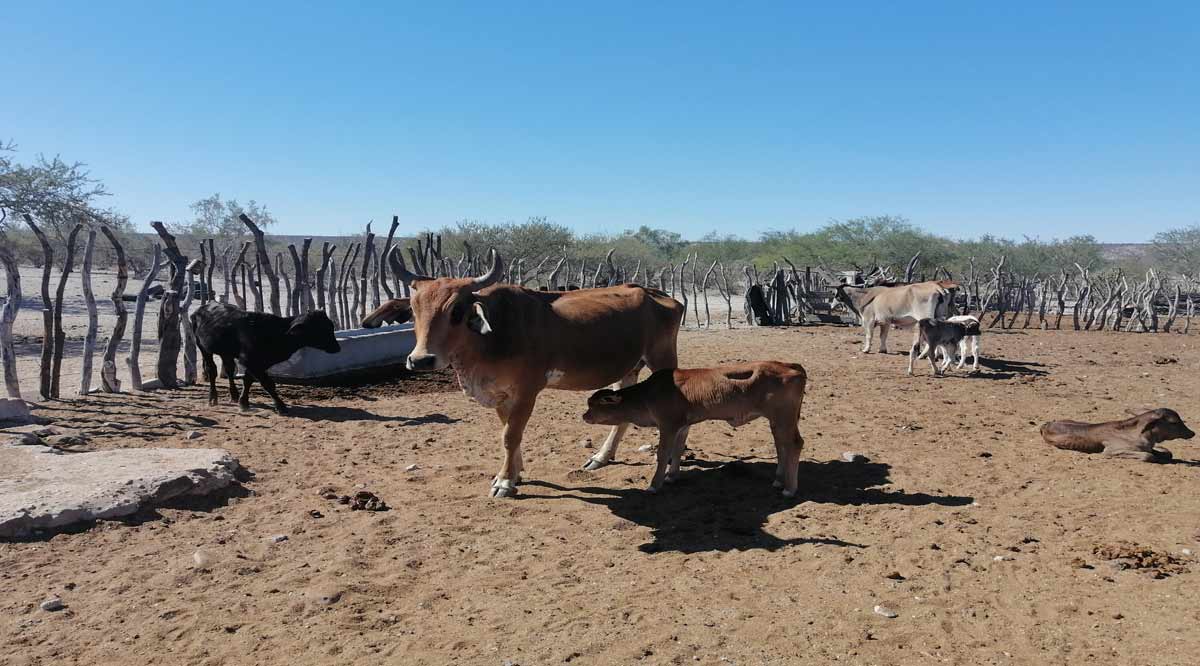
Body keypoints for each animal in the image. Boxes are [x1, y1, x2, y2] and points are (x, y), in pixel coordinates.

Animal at [190, 301, 343, 415]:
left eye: (330, 326)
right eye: (318, 329)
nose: (337, 348)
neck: (275, 332)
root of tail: (203, 307)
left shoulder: (259, 363)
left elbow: (248, 380)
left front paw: (243, 402)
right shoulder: (250, 361)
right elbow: (268, 383)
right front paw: (281, 406)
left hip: (225, 352)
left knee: (229, 369)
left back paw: (233, 396)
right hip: (203, 347)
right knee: (211, 370)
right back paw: (212, 398)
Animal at [580, 362, 806, 496]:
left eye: (594, 405)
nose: (584, 416)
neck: (647, 395)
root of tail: (791, 366)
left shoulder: (668, 425)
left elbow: (663, 453)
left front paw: (655, 484)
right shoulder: (682, 426)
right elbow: (678, 450)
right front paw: (672, 476)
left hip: (783, 417)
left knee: (794, 444)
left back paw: (790, 488)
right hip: (778, 421)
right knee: (781, 445)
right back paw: (779, 480)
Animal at [1036, 405, 1195, 463]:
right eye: (1174, 422)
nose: (1192, 433)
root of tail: (1047, 424)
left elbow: (1167, 453)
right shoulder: (1109, 451)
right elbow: (1148, 456)